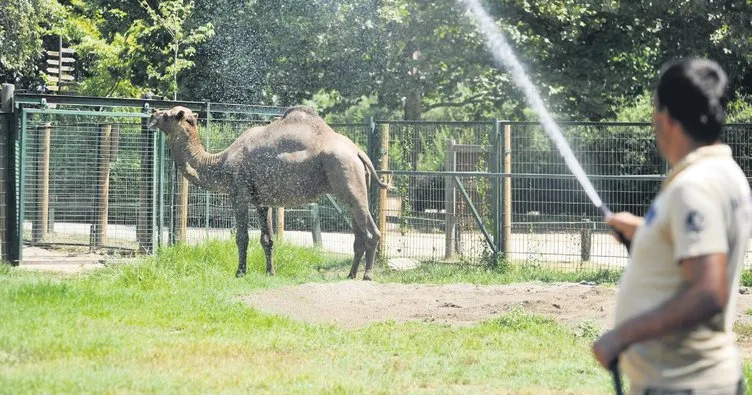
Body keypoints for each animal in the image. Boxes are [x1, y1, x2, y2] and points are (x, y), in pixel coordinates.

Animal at [148, 105, 394, 282]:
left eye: (168, 114)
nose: (153, 114)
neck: (220, 162)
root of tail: (359, 152)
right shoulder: (262, 200)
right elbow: (268, 239)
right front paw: (270, 272)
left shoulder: (239, 193)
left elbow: (242, 237)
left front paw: (240, 272)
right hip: (350, 185)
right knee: (358, 233)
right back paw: (350, 275)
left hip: (347, 176)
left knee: (371, 231)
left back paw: (367, 275)